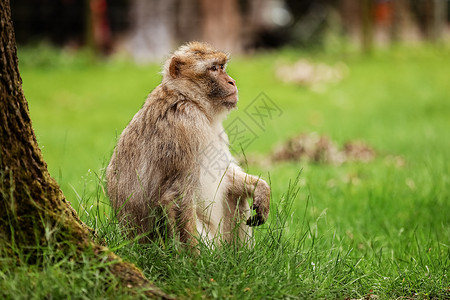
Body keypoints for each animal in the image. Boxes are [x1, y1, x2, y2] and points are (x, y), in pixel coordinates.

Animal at [107, 41, 270, 248]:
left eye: (222, 67)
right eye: (214, 68)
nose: (231, 81)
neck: (189, 99)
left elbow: (225, 173)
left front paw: (261, 188)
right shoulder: (184, 126)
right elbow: (178, 194)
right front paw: (194, 258)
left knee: (235, 195)